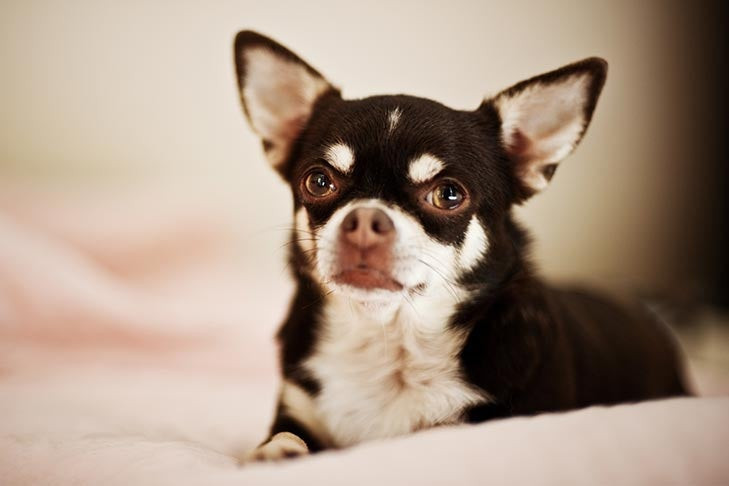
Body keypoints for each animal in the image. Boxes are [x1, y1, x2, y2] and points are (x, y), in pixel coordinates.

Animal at [230, 31, 684, 464]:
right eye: (319, 182)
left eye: (448, 195)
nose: (364, 222)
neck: (389, 341)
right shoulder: (296, 409)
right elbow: (287, 434)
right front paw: (277, 450)